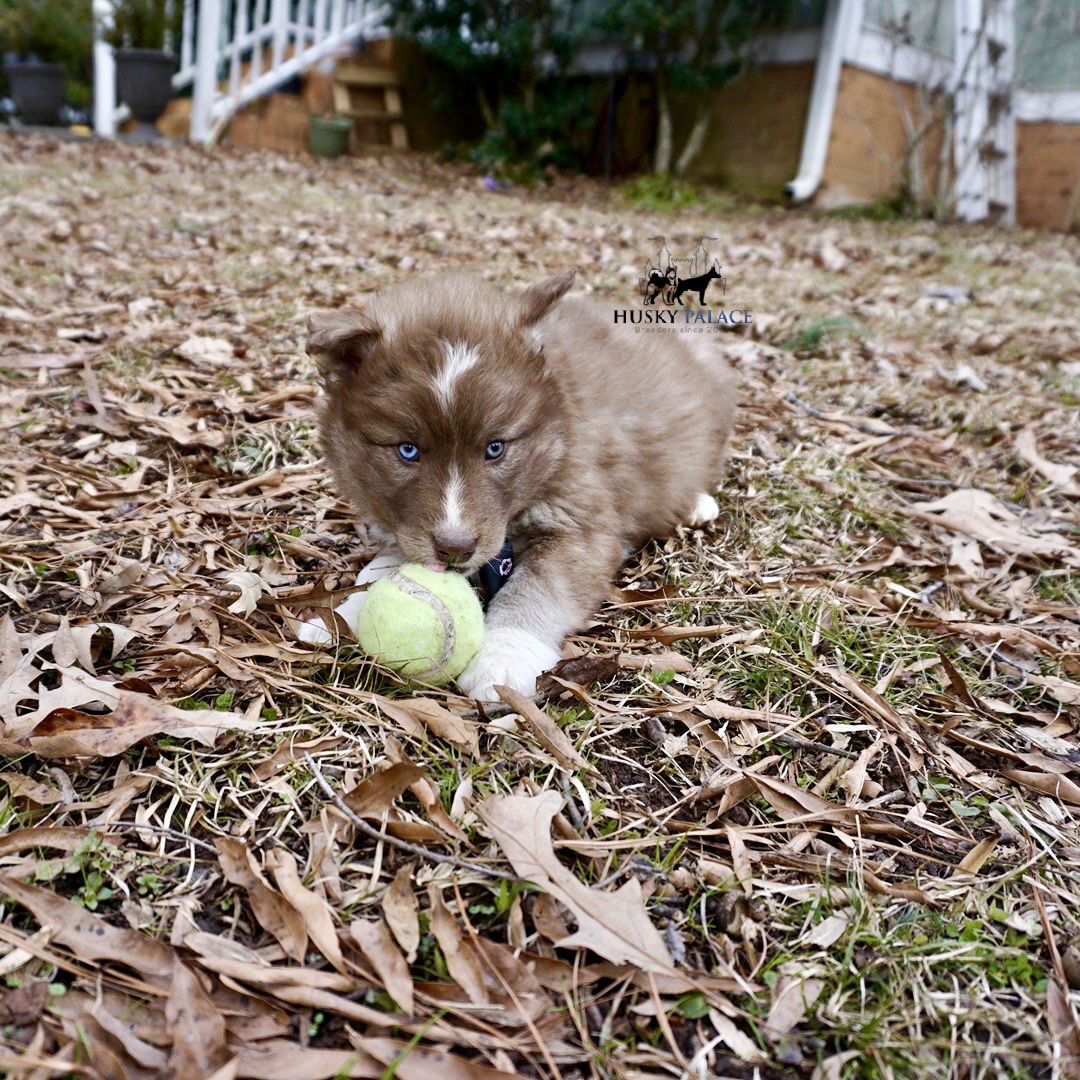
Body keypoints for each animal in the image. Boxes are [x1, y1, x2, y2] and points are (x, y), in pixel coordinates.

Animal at [308, 270, 738, 699]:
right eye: (407, 450)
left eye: (495, 448)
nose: (456, 548)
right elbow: (385, 566)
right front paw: (339, 614)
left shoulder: (580, 526)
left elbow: (535, 590)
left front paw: (504, 657)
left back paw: (697, 505)